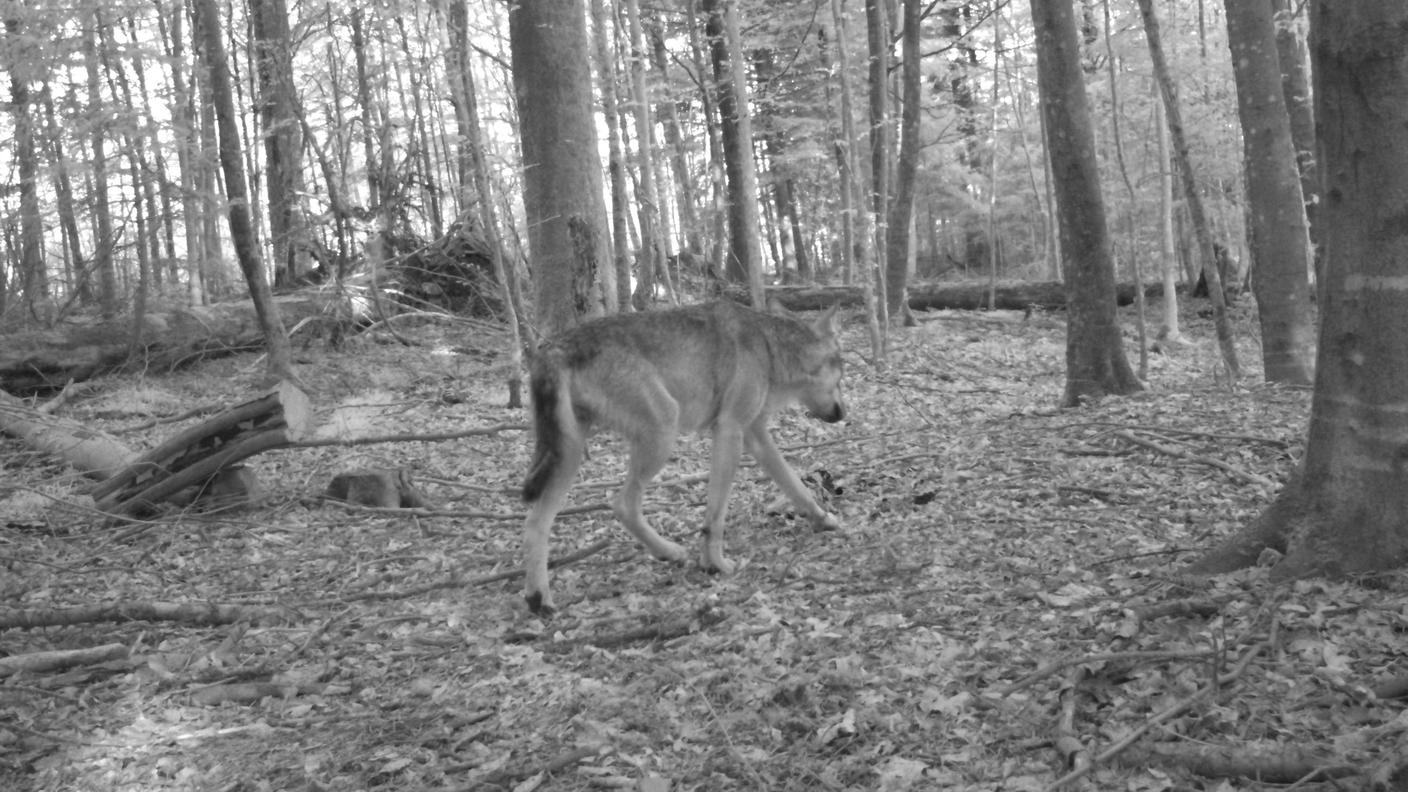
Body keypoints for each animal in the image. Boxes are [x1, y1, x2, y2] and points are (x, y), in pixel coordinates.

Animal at [520, 298, 839, 614]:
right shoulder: (730, 429)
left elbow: (794, 484)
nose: (842, 412)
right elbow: (716, 514)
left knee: (536, 522)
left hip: (570, 455)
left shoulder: (754, 434)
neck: (769, 346)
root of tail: (555, 348)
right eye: (842, 374)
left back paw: (539, 599)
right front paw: (716, 564)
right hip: (662, 430)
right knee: (623, 505)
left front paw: (823, 519)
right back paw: (669, 552)